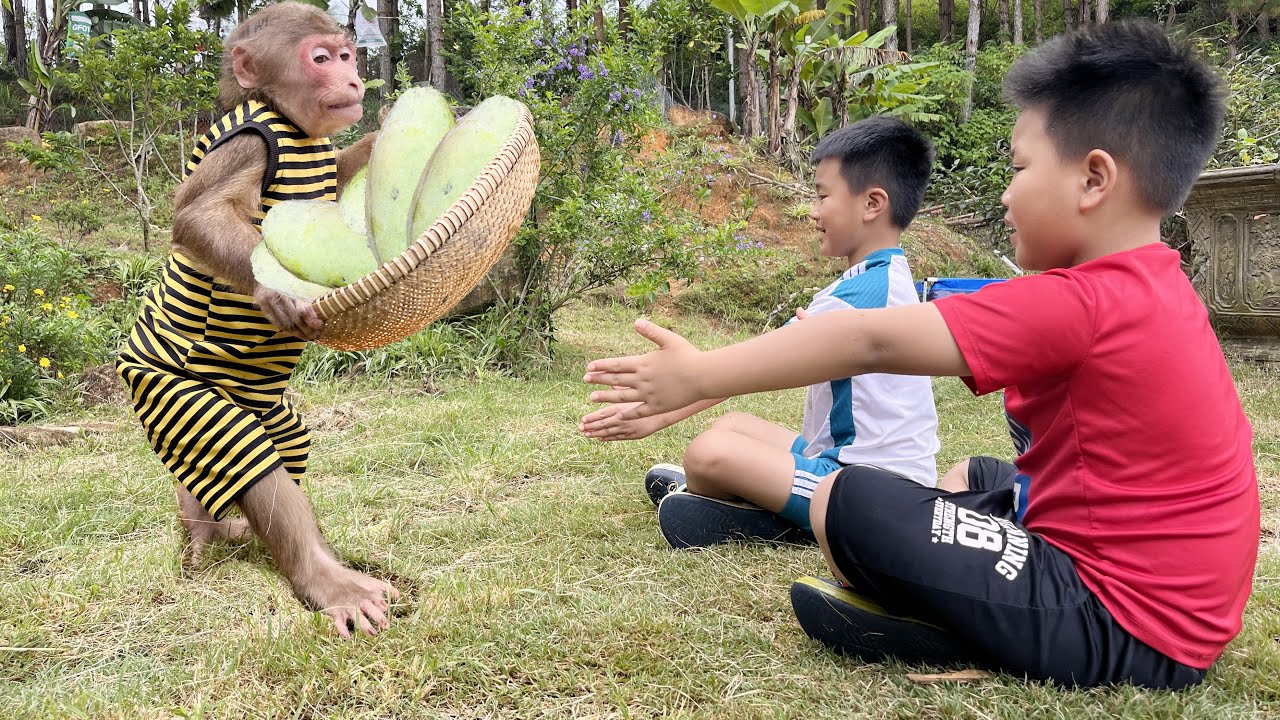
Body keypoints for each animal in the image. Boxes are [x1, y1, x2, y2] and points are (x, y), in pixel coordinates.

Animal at [116, 2, 398, 638]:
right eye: (320, 59)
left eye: (347, 56)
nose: (353, 81)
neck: (292, 126)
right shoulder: (246, 145)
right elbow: (198, 215)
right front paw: (274, 292)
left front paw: (381, 132)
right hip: (175, 394)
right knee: (243, 456)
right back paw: (327, 581)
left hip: (277, 413)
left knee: (280, 451)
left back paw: (209, 525)